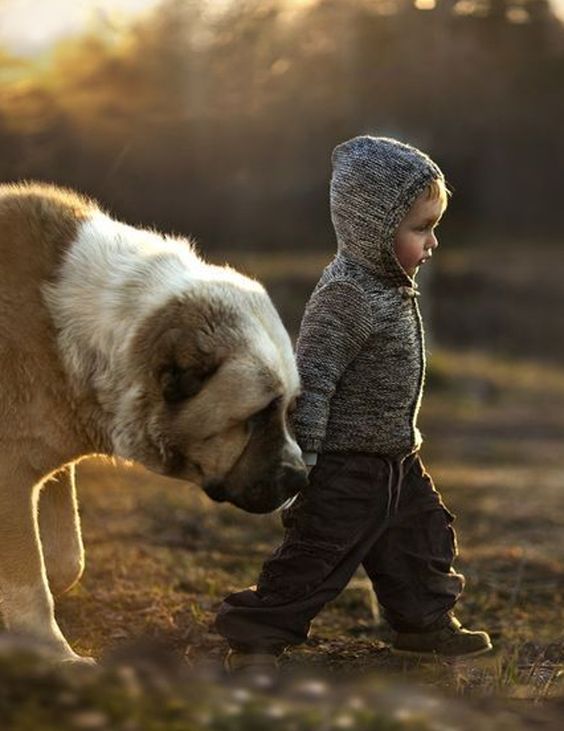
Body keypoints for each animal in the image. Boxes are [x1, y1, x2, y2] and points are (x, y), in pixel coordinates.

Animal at [0, 183, 306, 664]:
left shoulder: (44, 465)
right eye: (256, 417)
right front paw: (57, 656)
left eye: (290, 407)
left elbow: (66, 559)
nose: (301, 477)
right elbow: (30, 581)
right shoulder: (10, 473)